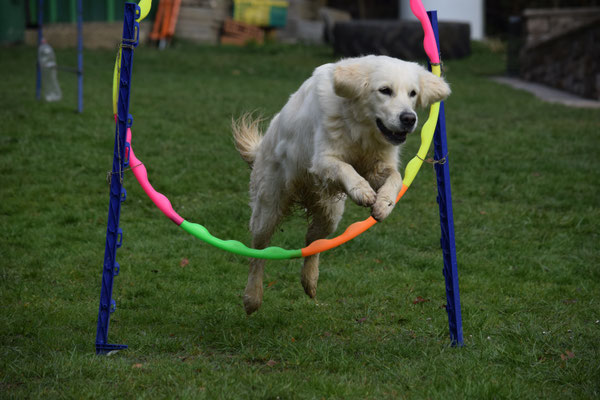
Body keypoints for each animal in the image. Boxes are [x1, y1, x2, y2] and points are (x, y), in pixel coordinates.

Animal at [232, 54, 448, 314]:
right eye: (385, 90)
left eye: (413, 93)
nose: (409, 118)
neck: (361, 127)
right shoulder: (322, 160)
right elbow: (345, 167)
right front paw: (362, 190)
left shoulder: (378, 166)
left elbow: (395, 178)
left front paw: (384, 204)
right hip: (268, 210)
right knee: (258, 253)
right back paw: (252, 297)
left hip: (330, 214)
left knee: (312, 242)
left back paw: (310, 281)